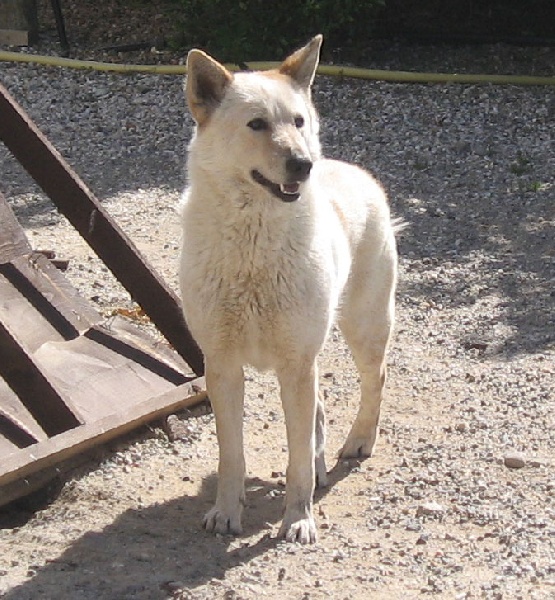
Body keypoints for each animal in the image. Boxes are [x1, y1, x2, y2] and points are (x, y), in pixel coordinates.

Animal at [179, 35, 399, 544]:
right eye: (256, 124)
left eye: (298, 121)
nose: (304, 165)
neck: (253, 245)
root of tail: (352, 170)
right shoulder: (223, 366)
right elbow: (231, 455)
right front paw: (227, 512)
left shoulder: (296, 365)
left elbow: (296, 457)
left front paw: (298, 518)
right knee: (319, 412)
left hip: (363, 327)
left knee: (374, 380)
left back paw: (359, 441)